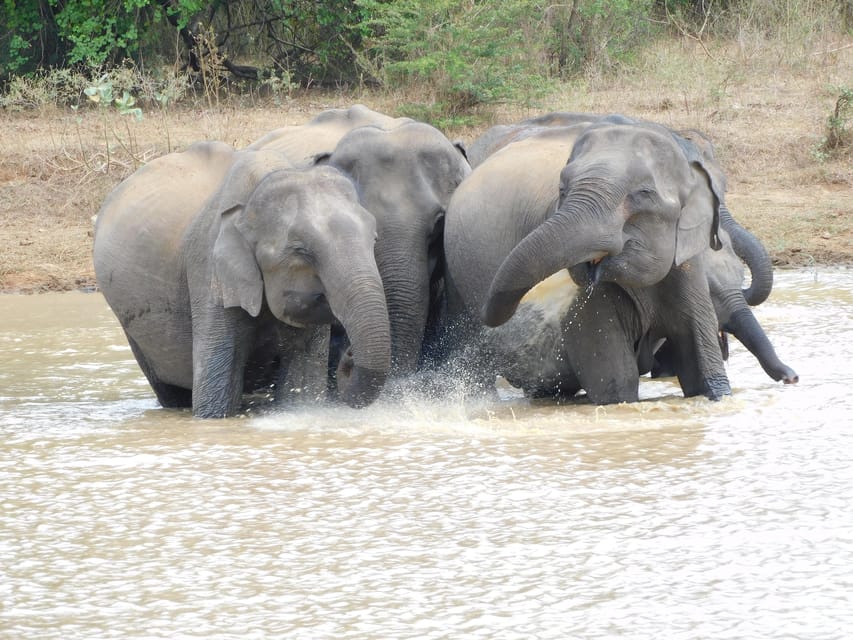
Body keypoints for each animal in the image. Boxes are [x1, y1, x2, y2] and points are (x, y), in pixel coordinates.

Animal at [93, 142, 390, 418]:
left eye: (374, 240)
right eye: (301, 251)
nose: (348, 354)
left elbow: (302, 382)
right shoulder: (208, 268)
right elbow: (216, 397)